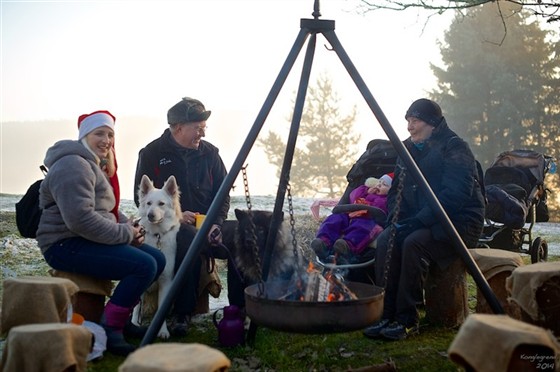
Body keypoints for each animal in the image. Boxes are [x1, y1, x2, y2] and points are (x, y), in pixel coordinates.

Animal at [131, 174, 182, 340]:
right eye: (148, 203)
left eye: (161, 204)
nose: (150, 215)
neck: (156, 236)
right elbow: (136, 307)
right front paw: (134, 324)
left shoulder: (166, 281)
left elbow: (161, 310)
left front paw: (163, 331)